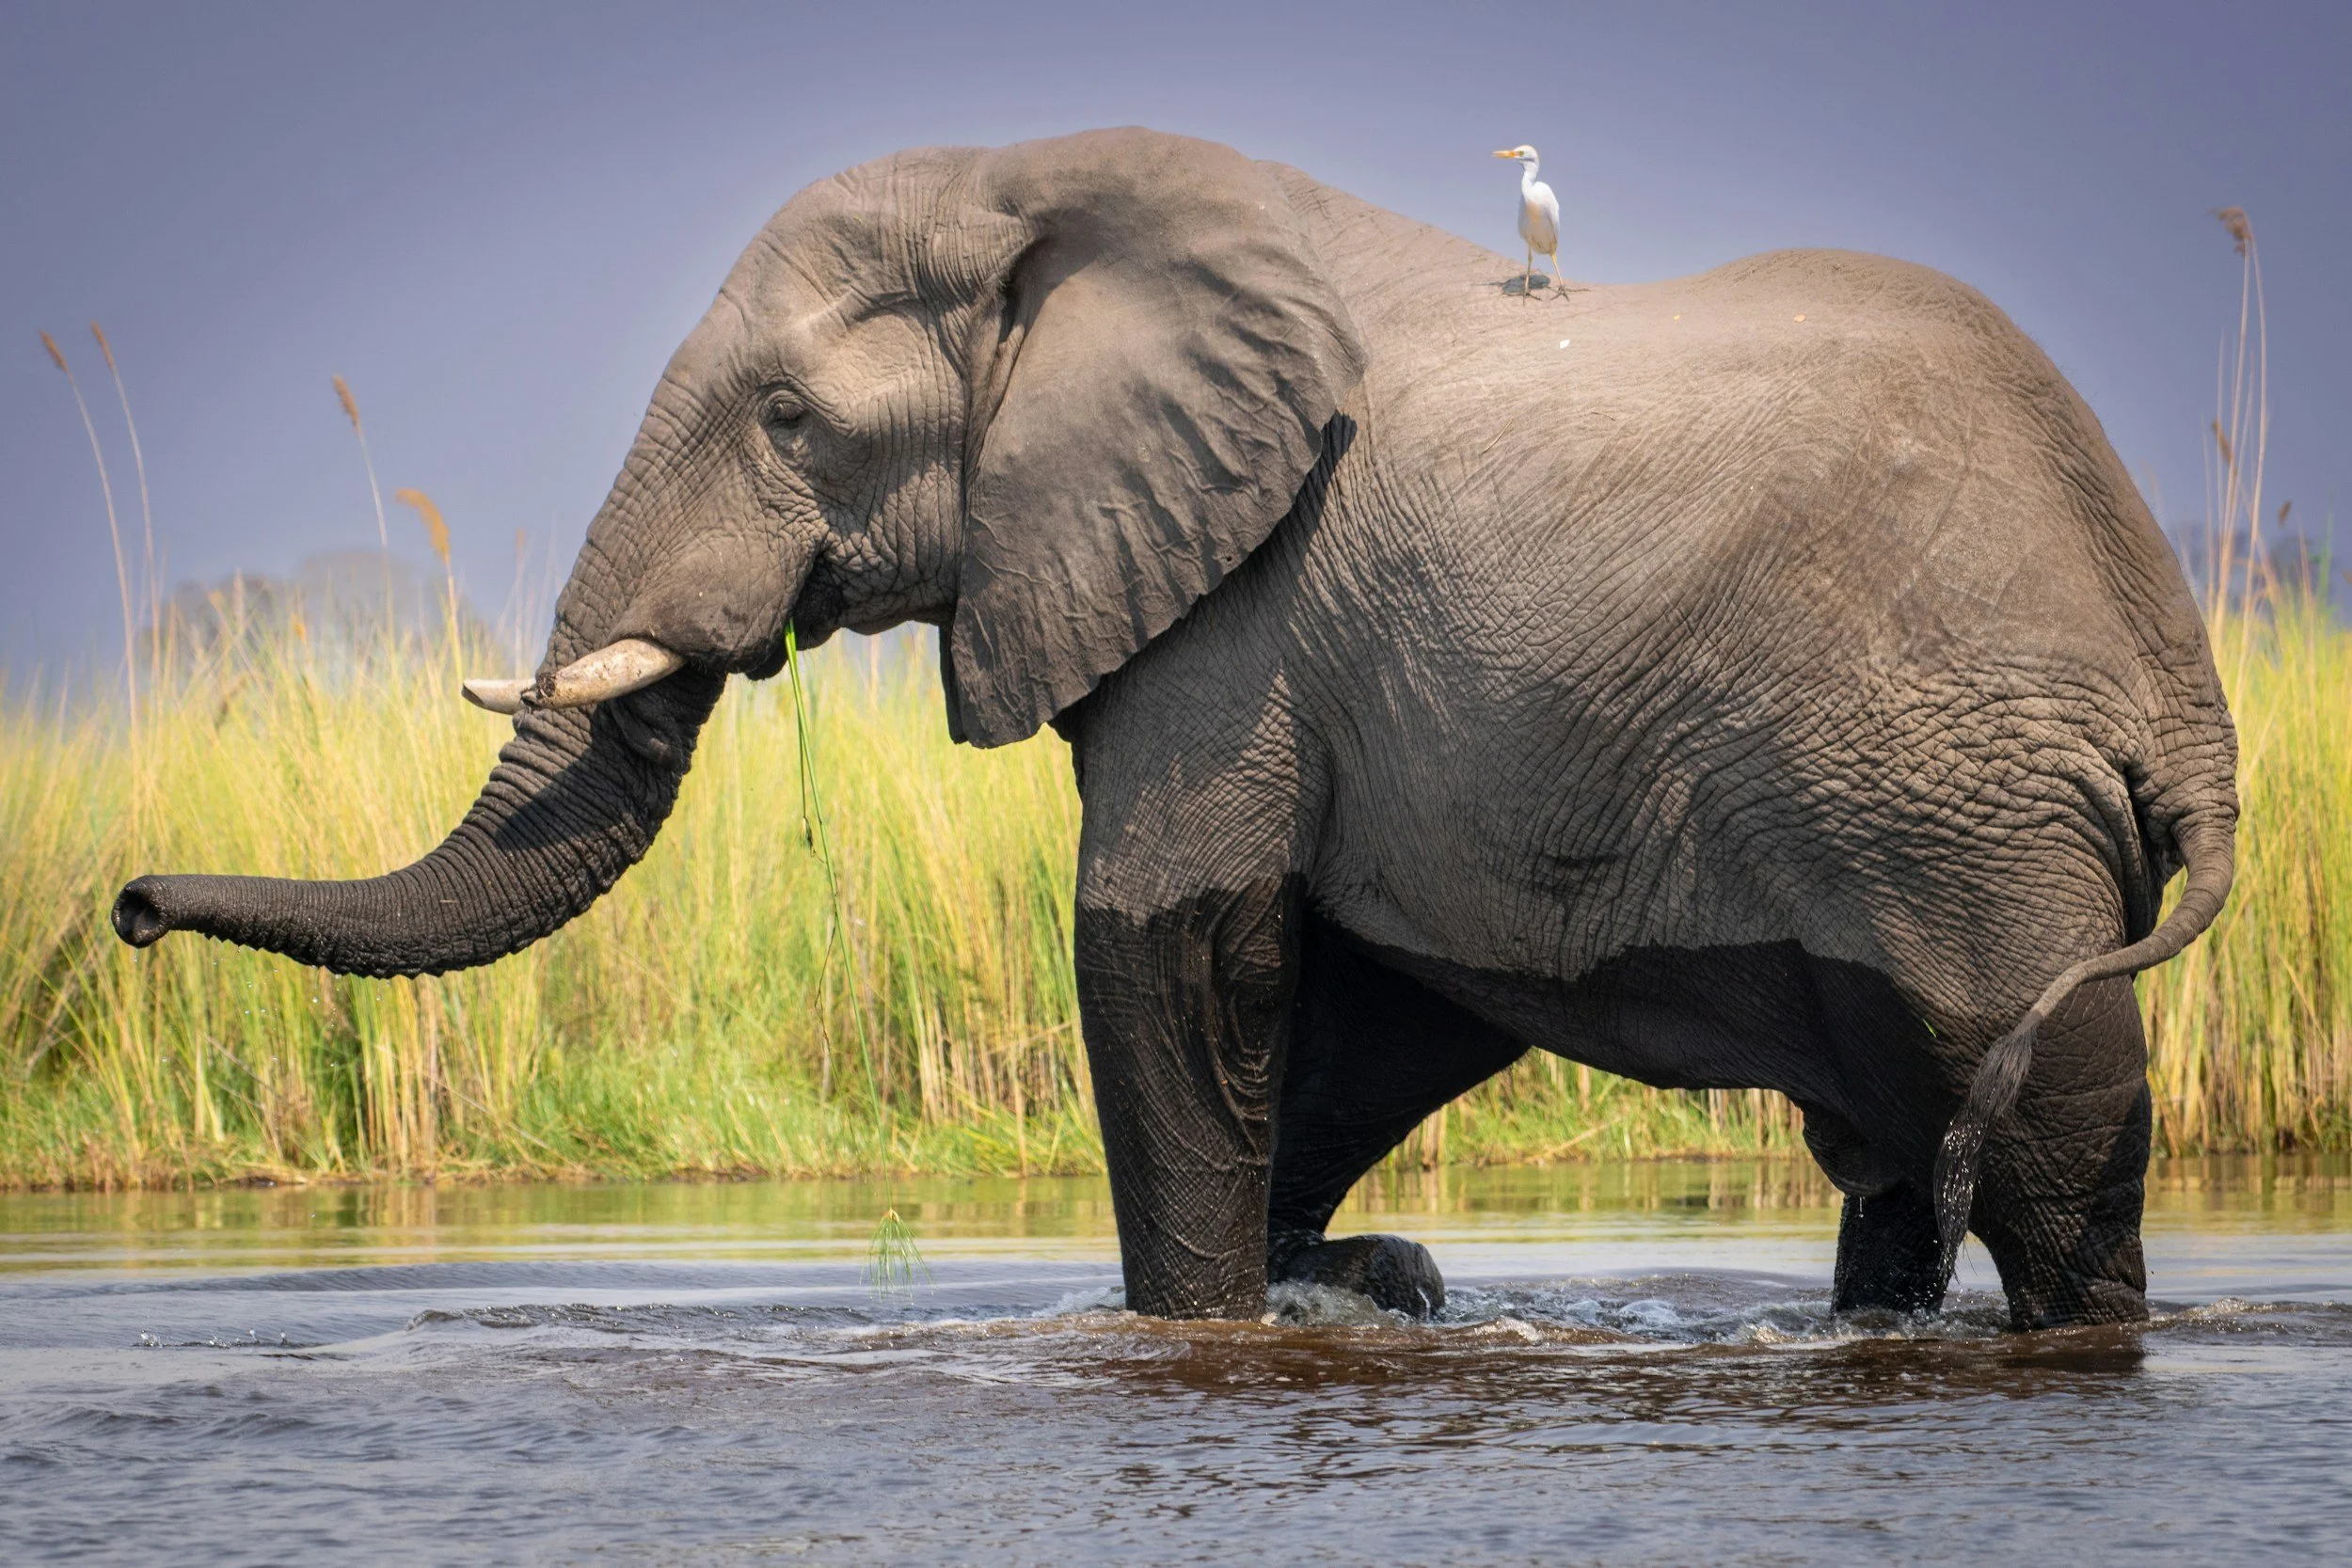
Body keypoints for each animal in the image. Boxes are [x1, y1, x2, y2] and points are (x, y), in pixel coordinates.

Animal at [113, 127, 2236, 1330]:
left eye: (788, 420)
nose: (125, 906)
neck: (1052, 196)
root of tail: (2185, 703)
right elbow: (1363, 1000)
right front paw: (1372, 1286)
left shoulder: (1245, 609)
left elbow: (1172, 955)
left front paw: (1220, 1323)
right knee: (1905, 1141)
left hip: (1961, 818)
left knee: (2049, 1153)